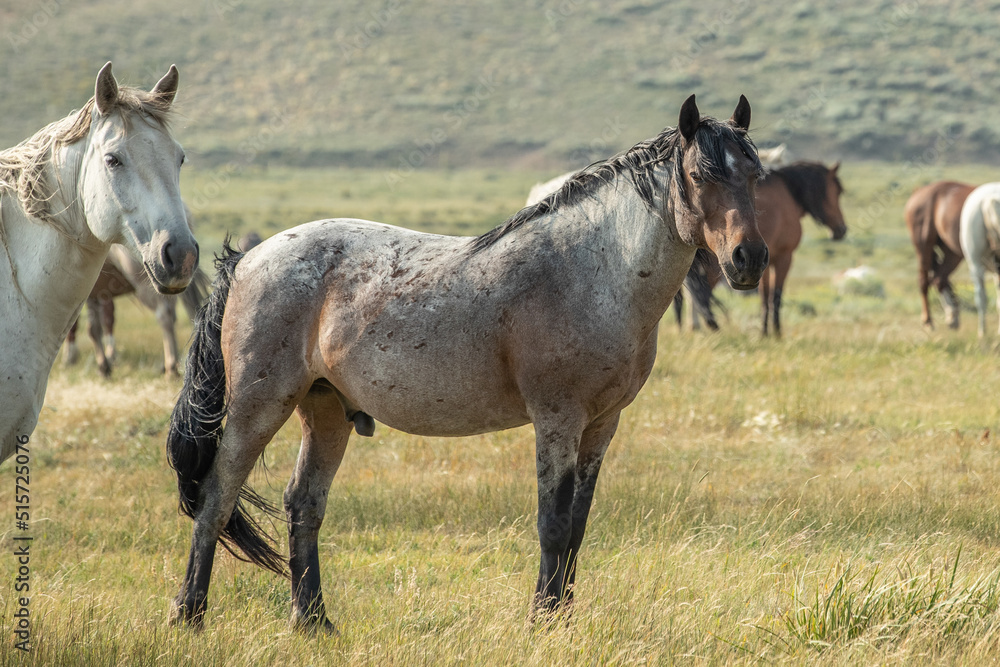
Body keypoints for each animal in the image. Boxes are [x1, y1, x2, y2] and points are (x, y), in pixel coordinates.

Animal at [166, 95, 768, 632]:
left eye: (756, 176)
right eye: (700, 175)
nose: (750, 258)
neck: (593, 273)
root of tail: (250, 258)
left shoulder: (602, 424)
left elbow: (577, 528)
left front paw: (564, 619)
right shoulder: (558, 420)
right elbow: (553, 524)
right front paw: (543, 623)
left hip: (326, 411)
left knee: (303, 505)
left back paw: (313, 622)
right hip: (259, 406)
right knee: (217, 498)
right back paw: (189, 616)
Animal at [681, 161, 847, 335]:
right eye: (837, 192)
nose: (842, 229)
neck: (787, 194)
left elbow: (766, 296)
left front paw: (766, 330)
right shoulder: (783, 258)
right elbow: (774, 296)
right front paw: (774, 332)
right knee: (702, 293)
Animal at [905, 181, 975, 329]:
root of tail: (918, 191)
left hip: (951, 250)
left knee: (940, 278)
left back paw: (952, 316)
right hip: (923, 245)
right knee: (925, 280)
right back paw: (928, 321)